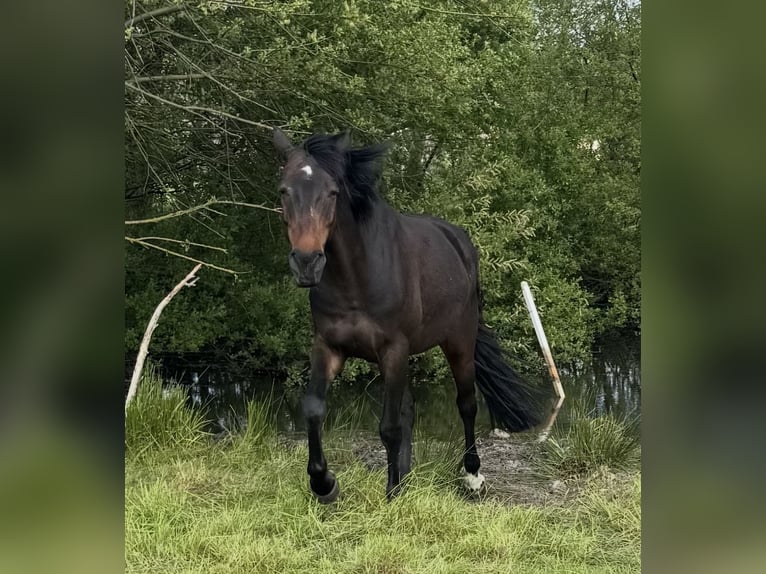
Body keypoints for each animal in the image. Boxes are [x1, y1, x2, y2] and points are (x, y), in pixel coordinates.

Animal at [272, 128, 542, 502]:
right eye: (284, 191)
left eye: (332, 192)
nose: (307, 262)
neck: (356, 278)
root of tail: (461, 244)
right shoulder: (329, 346)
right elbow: (313, 408)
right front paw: (324, 483)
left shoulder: (393, 349)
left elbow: (389, 426)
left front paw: (392, 492)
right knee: (410, 409)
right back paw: (407, 474)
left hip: (459, 342)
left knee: (466, 404)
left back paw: (472, 476)